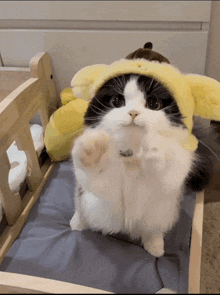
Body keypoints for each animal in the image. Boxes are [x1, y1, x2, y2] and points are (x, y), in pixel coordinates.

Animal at [70, 73, 213, 258]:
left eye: (153, 104)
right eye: (117, 101)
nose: (133, 112)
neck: (133, 159)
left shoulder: (172, 177)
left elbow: (166, 164)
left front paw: (153, 147)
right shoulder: (106, 192)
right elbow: (99, 174)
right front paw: (94, 148)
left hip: (160, 212)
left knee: (153, 229)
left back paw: (156, 248)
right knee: (80, 208)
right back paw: (77, 223)